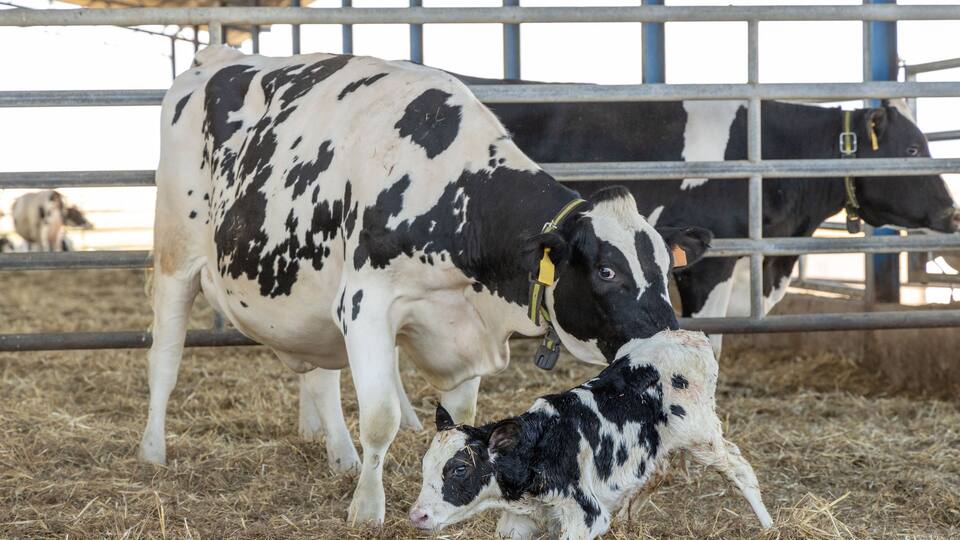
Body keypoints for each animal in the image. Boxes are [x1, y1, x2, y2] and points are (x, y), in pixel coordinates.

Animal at [141, 45, 711, 527]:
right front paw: (366, 511)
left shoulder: (460, 325)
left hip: (307, 299)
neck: (451, 195)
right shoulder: (365, 306)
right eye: (608, 271)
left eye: (666, 267)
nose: (672, 342)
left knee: (320, 378)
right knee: (164, 360)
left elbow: (460, 418)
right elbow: (380, 418)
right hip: (176, 258)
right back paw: (152, 451)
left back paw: (341, 456)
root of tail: (217, 57)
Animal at [411, 330, 773, 538]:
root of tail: (687, 335)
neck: (539, 450)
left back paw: (769, 526)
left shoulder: (585, 515)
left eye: (460, 468)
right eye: (425, 466)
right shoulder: (520, 522)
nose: (417, 515)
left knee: (739, 469)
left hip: (701, 436)